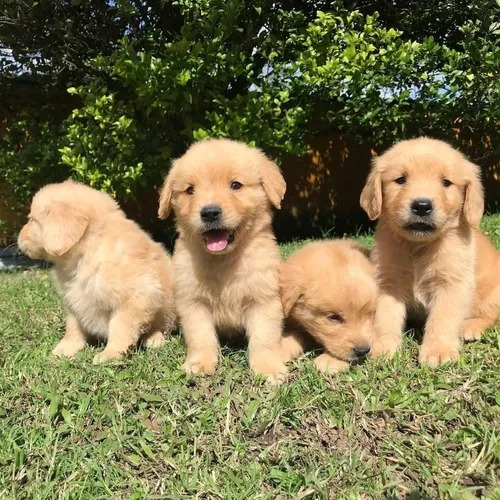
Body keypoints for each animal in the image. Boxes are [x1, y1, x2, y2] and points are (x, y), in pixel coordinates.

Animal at [17, 180, 177, 364]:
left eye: (32, 220)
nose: (18, 237)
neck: (86, 253)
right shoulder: (74, 302)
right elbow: (73, 328)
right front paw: (65, 349)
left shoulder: (139, 297)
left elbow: (120, 328)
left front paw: (110, 354)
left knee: (163, 325)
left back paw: (154, 339)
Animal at [158, 137, 288, 382]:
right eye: (190, 190)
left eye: (235, 185)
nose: (209, 212)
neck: (223, 261)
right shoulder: (192, 301)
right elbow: (200, 336)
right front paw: (200, 362)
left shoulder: (264, 299)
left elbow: (264, 338)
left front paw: (268, 368)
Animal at [360, 137, 500, 368]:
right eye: (401, 180)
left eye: (446, 182)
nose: (422, 206)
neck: (418, 247)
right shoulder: (388, 281)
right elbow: (385, 316)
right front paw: (382, 348)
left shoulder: (452, 283)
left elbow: (443, 318)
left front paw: (438, 351)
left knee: (491, 315)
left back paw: (470, 327)